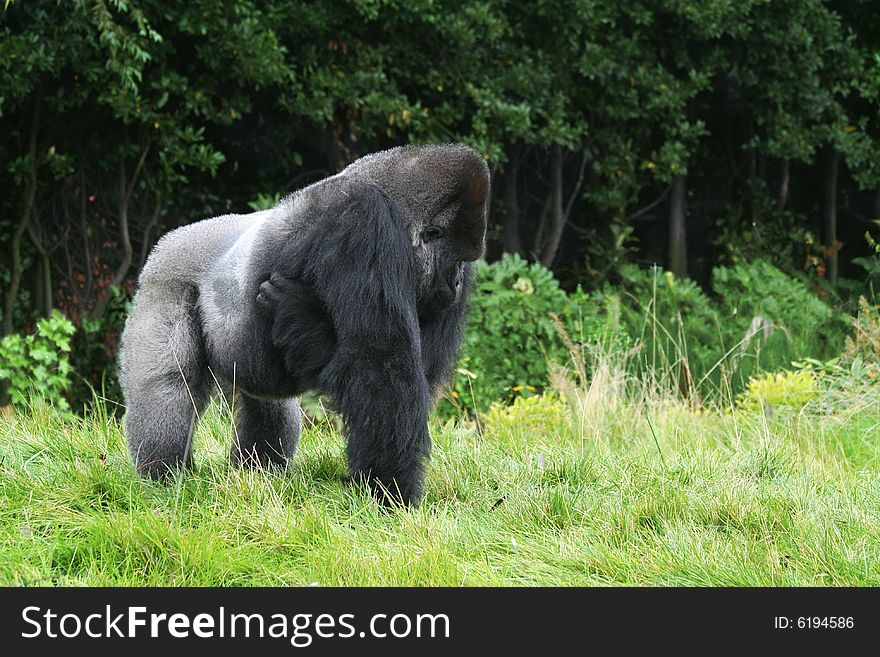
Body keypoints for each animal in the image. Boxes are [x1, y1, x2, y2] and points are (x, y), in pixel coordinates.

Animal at [117, 142, 492, 502]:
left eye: (466, 262)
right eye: (456, 258)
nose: (458, 281)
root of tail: (166, 242)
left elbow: (405, 375)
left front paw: (299, 312)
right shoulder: (362, 218)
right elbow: (378, 367)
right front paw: (390, 491)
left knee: (269, 403)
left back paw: (258, 471)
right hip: (166, 282)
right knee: (169, 385)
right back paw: (163, 474)